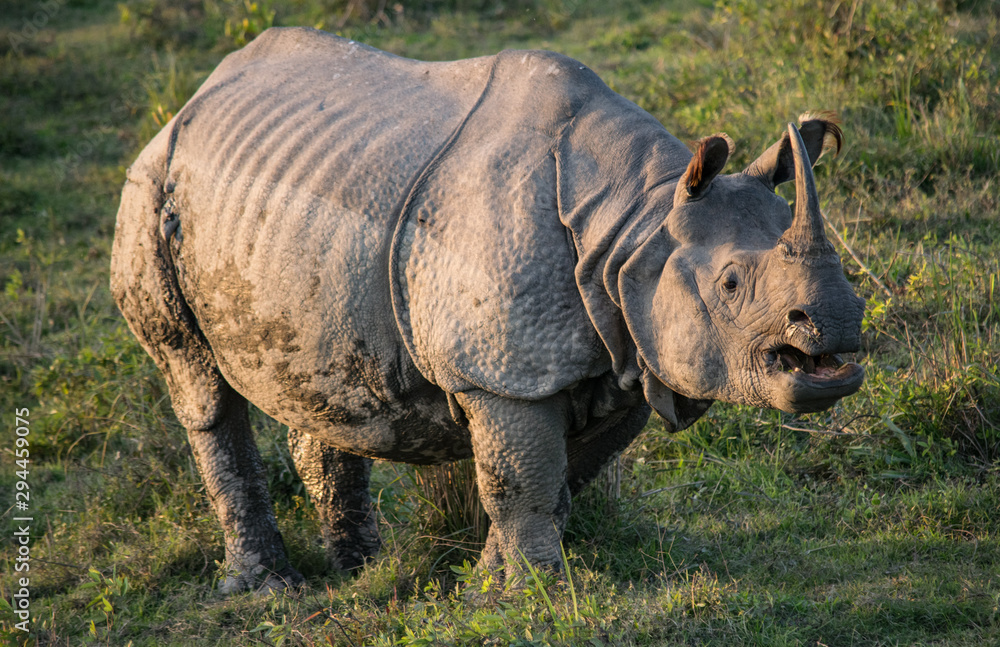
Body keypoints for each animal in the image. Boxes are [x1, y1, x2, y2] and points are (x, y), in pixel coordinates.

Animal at [111, 27, 866, 594]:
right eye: (732, 284)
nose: (840, 327)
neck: (635, 226)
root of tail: (194, 99)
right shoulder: (503, 372)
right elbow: (521, 478)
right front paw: (525, 594)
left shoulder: (625, 352)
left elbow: (554, 481)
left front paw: (495, 580)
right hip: (148, 188)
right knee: (198, 382)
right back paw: (268, 589)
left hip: (291, 214)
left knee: (317, 381)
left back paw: (362, 572)